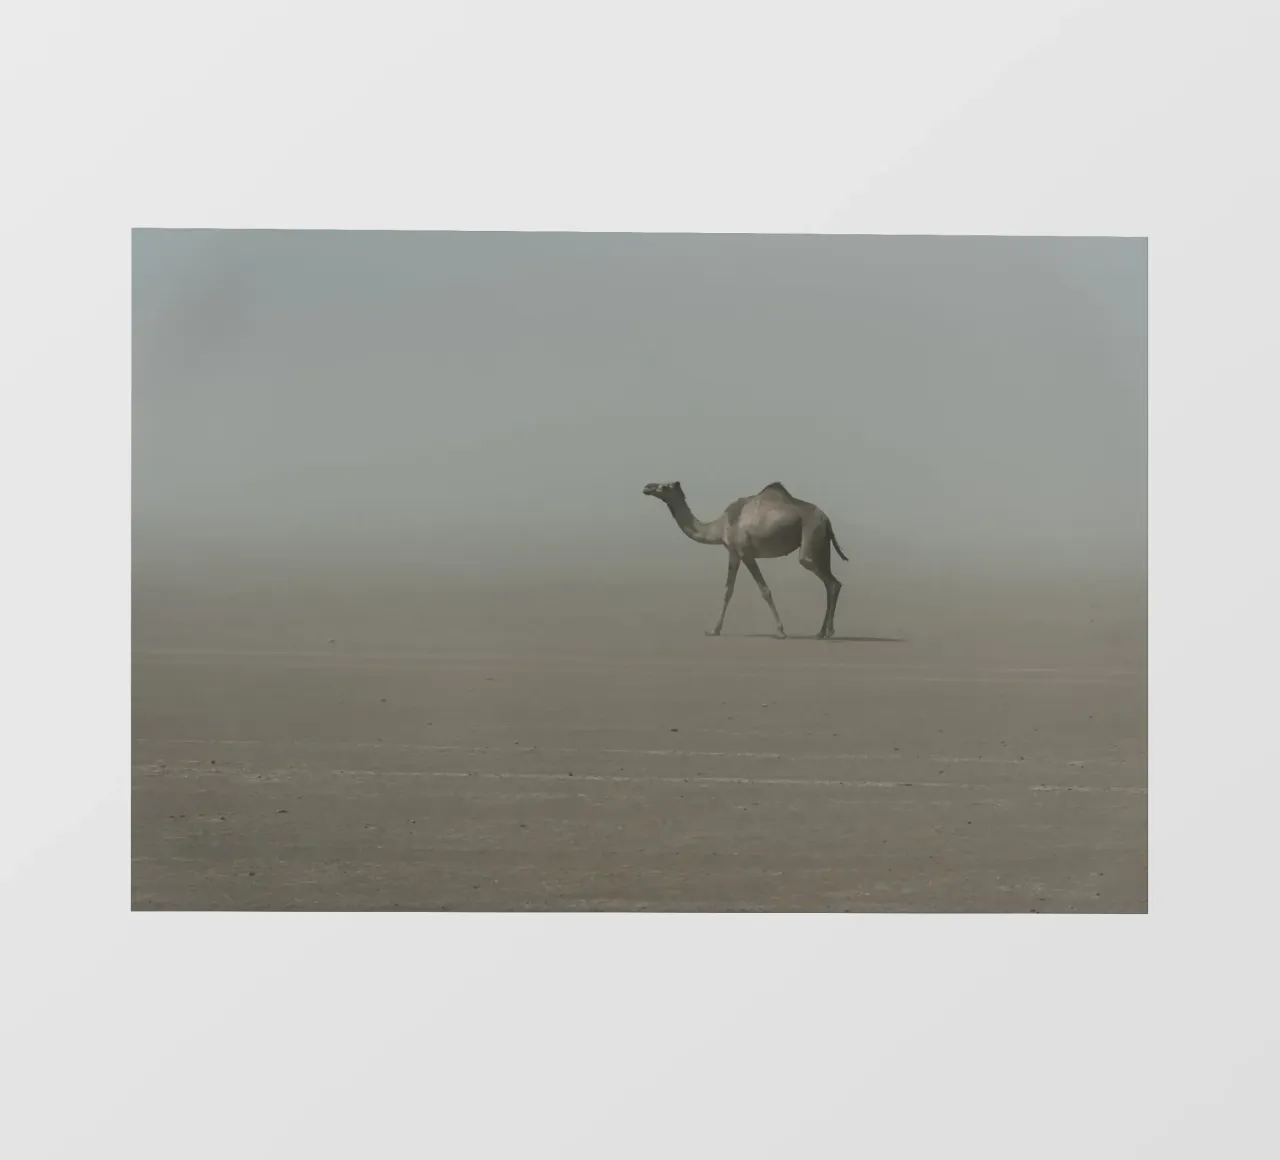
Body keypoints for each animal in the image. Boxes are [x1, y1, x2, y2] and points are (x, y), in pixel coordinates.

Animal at [642, 481, 849, 639]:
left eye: (665, 486)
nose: (647, 487)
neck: (720, 526)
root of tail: (826, 519)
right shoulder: (733, 553)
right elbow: (728, 591)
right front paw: (714, 630)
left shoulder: (745, 552)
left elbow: (764, 590)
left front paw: (780, 632)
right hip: (822, 543)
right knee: (831, 582)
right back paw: (821, 632)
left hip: (811, 534)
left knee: (828, 579)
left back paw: (828, 631)